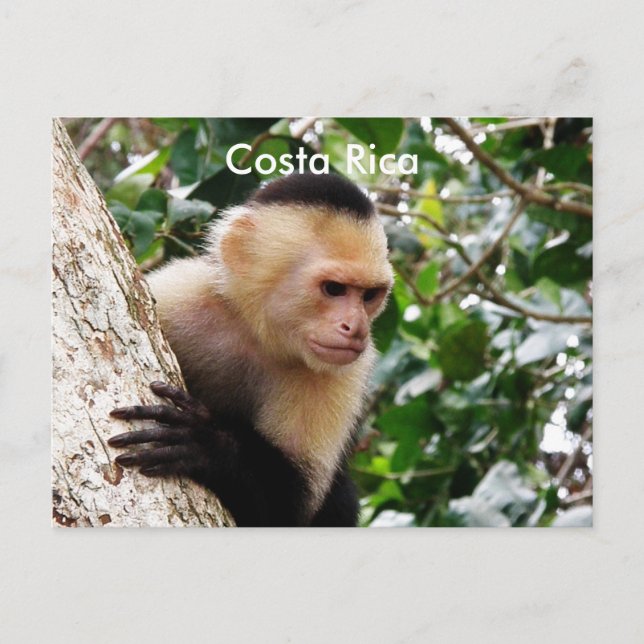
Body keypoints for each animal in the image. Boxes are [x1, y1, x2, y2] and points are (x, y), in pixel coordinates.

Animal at [108, 173, 394, 527]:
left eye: (369, 296)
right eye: (334, 289)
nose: (356, 328)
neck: (257, 335)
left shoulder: (346, 372)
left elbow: (291, 509)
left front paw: (211, 446)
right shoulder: (181, 291)